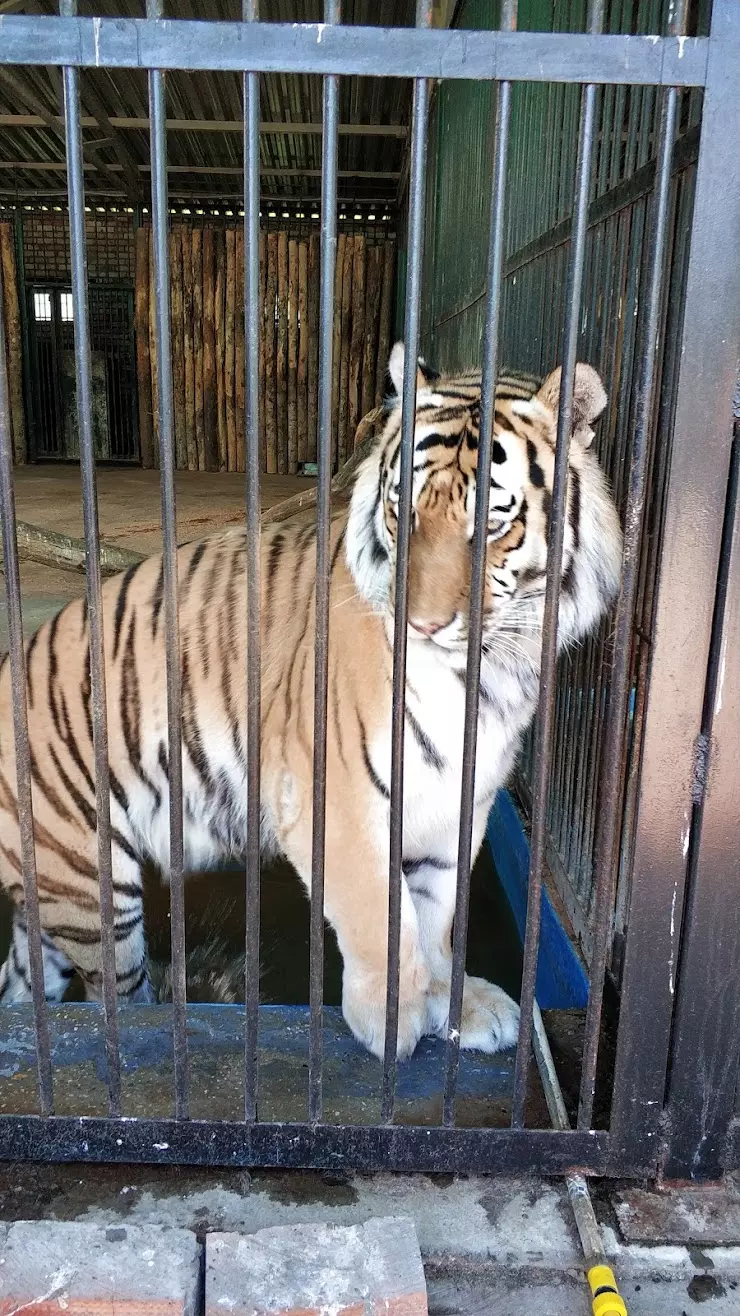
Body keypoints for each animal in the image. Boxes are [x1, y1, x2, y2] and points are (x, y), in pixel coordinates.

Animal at [0, 339, 621, 1058]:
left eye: (491, 526)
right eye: (404, 510)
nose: (422, 625)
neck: (487, 674)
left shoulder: (455, 803)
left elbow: (435, 916)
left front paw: (456, 1004)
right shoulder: (330, 790)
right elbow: (379, 909)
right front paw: (394, 1017)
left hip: (52, 891)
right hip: (92, 886)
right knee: (118, 995)